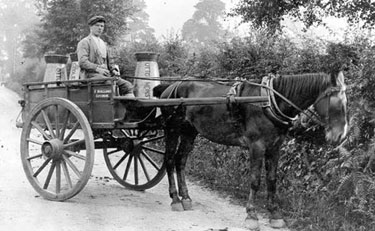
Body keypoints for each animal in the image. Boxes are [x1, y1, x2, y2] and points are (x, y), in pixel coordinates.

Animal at [153, 71, 350, 229]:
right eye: (335, 102)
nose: (340, 136)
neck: (270, 102)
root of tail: (171, 86)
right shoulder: (257, 146)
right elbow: (255, 181)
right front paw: (251, 215)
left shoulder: (274, 147)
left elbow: (272, 180)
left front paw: (275, 214)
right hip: (172, 128)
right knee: (169, 160)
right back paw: (175, 199)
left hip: (189, 131)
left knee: (180, 160)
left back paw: (186, 197)